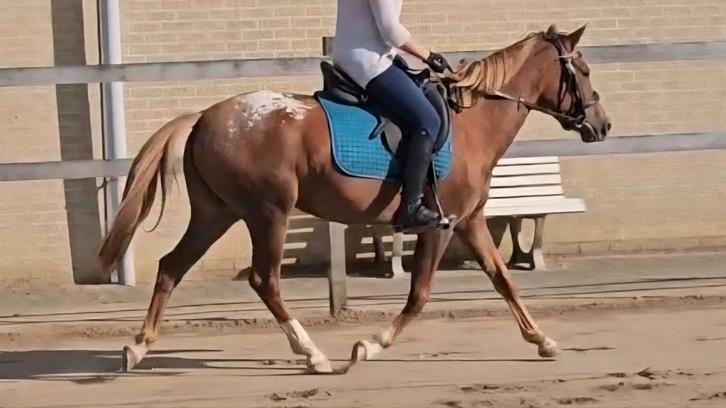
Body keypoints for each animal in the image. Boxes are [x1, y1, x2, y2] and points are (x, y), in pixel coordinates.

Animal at [100, 24, 611, 374]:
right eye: (583, 70)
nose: (601, 125)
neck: (472, 122)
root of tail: (206, 116)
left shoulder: (469, 221)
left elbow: (503, 279)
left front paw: (542, 340)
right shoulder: (440, 224)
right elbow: (420, 295)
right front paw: (368, 346)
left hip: (217, 214)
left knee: (171, 266)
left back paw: (138, 346)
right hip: (268, 214)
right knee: (265, 280)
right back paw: (313, 354)